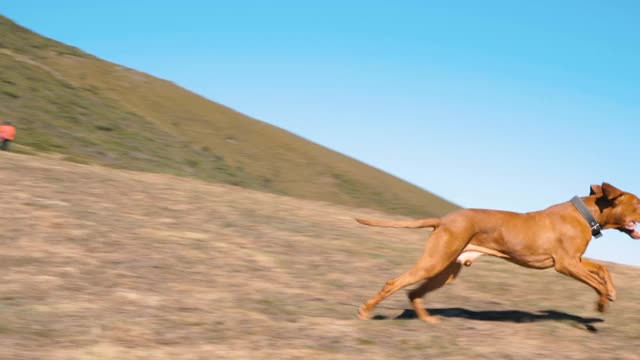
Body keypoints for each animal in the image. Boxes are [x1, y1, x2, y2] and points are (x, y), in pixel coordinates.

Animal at [356, 183, 640, 324]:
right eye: (637, 202)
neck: (587, 214)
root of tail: (444, 219)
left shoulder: (576, 261)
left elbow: (603, 270)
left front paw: (611, 292)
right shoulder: (566, 264)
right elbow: (595, 282)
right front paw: (602, 302)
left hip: (445, 271)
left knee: (413, 292)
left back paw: (427, 320)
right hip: (434, 263)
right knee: (394, 283)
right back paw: (365, 311)